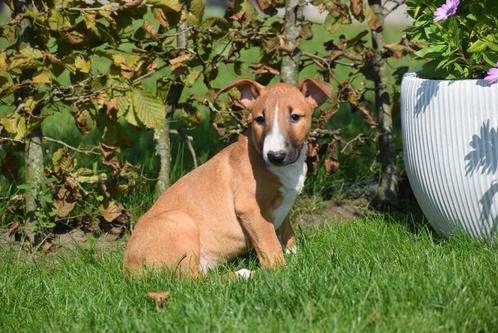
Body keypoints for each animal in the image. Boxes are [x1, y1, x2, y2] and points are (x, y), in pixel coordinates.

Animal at [124, 78, 330, 278]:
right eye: (260, 119)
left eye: (294, 117)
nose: (275, 156)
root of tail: (129, 267)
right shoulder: (251, 208)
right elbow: (271, 248)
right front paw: (282, 269)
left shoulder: (284, 207)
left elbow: (287, 233)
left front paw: (296, 255)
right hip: (180, 222)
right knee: (190, 279)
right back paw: (244, 274)